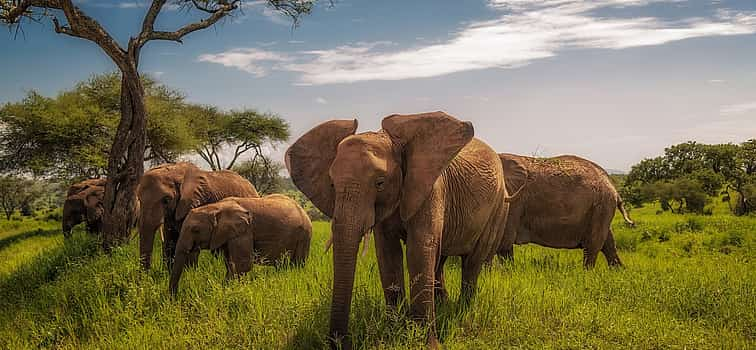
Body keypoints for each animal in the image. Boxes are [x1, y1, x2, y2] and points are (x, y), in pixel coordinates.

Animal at [170, 194, 312, 296]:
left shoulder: (244, 231)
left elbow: (242, 266)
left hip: (304, 236)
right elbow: (230, 265)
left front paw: (224, 291)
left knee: (297, 265)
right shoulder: (229, 234)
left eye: (195, 230)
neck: (216, 207)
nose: (175, 297)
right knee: (282, 266)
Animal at [286, 111, 510, 348]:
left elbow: (418, 250)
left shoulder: (431, 189)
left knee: (472, 261)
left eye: (380, 183)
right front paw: (394, 332)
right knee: (440, 259)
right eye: (331, 184)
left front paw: (426, 343)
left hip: (499, 207)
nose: (340, 343)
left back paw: (461, 310)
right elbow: (388, 253)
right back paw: (444, 305)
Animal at [496, 154, 632, 268]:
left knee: (592, 245)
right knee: (608, 243)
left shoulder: (513, 203)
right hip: (601, 208)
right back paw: (619, 271)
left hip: (601, 206)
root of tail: (613, 186)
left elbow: (504, 242)